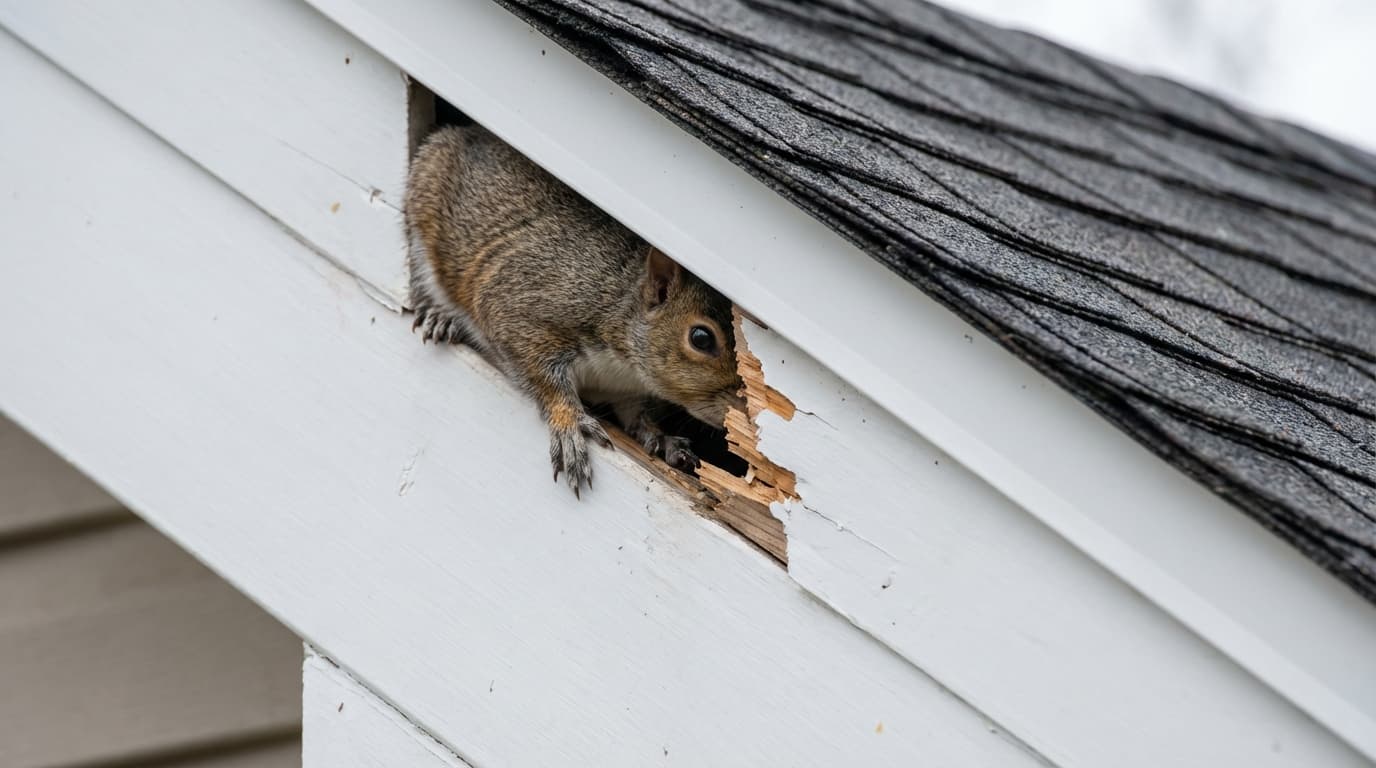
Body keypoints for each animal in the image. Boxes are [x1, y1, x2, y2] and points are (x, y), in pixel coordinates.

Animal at [404, 123, 743, 497]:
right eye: (701, 338)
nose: (739, 416)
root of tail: (467, 131)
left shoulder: (628, 391)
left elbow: (637, 418)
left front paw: (662, 437)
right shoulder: (524, 311)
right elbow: (543, 378)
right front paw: (569, 423)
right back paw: (440, 315)